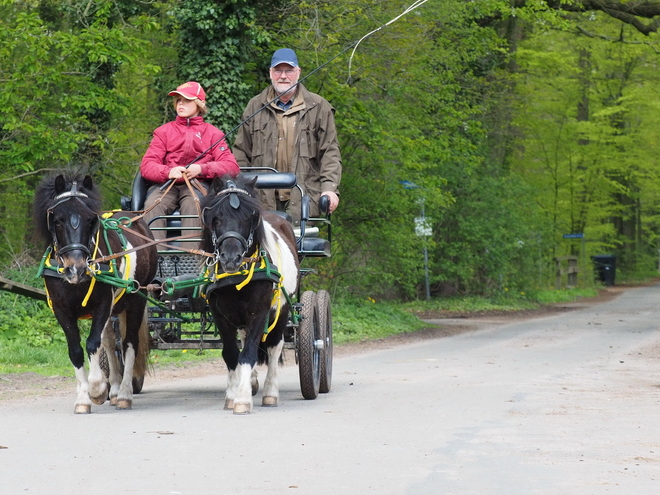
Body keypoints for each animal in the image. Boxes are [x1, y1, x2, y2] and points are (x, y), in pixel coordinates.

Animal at [34, 172, 158, 412]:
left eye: (91, 220)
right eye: (57, 220)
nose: (77, 268)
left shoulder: (102, 304)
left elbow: (93, 343)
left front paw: (97, 388)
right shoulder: (61, 310)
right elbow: (76, 350)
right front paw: (84, 398)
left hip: (136, 300)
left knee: (129, 344)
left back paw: (125, 394)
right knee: (110, 343)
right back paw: (116, 390)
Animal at [201, 174, 300, 414]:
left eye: (250, 219)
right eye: (216, 218)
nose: (230, 258)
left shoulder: (260, 312)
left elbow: (248, 354)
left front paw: (243, 398)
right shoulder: (220, 315)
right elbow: (231, 353)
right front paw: (232, 394)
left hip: (282, 309)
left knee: (274, 346)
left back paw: (271, 392)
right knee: (247, 339)